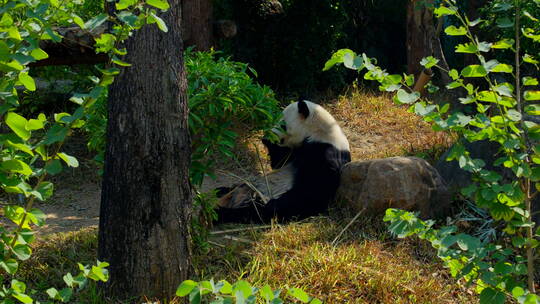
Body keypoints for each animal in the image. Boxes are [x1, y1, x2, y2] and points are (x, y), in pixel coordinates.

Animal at [215, 101, 350, 222]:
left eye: (282, 125)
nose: (267, 135)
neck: (318, 132)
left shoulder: (325, 153)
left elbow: (309, 192)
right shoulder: (295, 150)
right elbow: (279, 163)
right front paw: (268, 141)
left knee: (257, 210)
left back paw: (223, 212)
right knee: (236, 187)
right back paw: (220, 192)